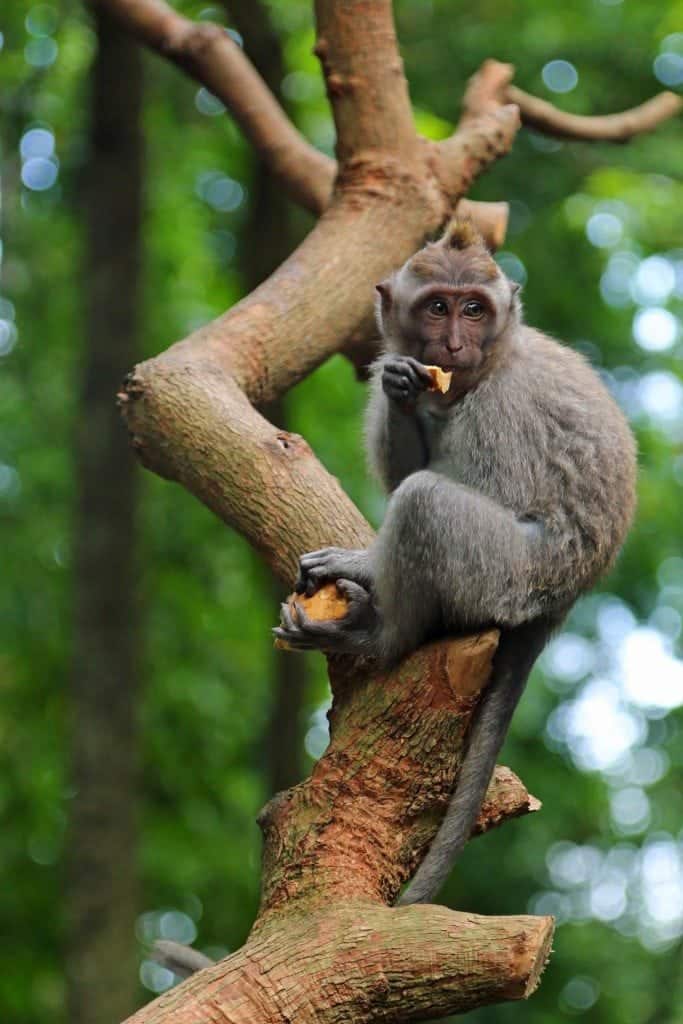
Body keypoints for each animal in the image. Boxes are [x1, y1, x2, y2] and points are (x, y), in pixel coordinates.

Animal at [274, 220, 638, 909]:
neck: (487, 367)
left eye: (474, 309)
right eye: (437, 306)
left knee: (428, 502)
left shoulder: (504, 409)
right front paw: (401, 392)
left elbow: (461, 486)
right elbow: (400, 441)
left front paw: (364, 565)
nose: (453, 343)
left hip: (508, 575)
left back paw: (377, 633)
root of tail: (564, 601)